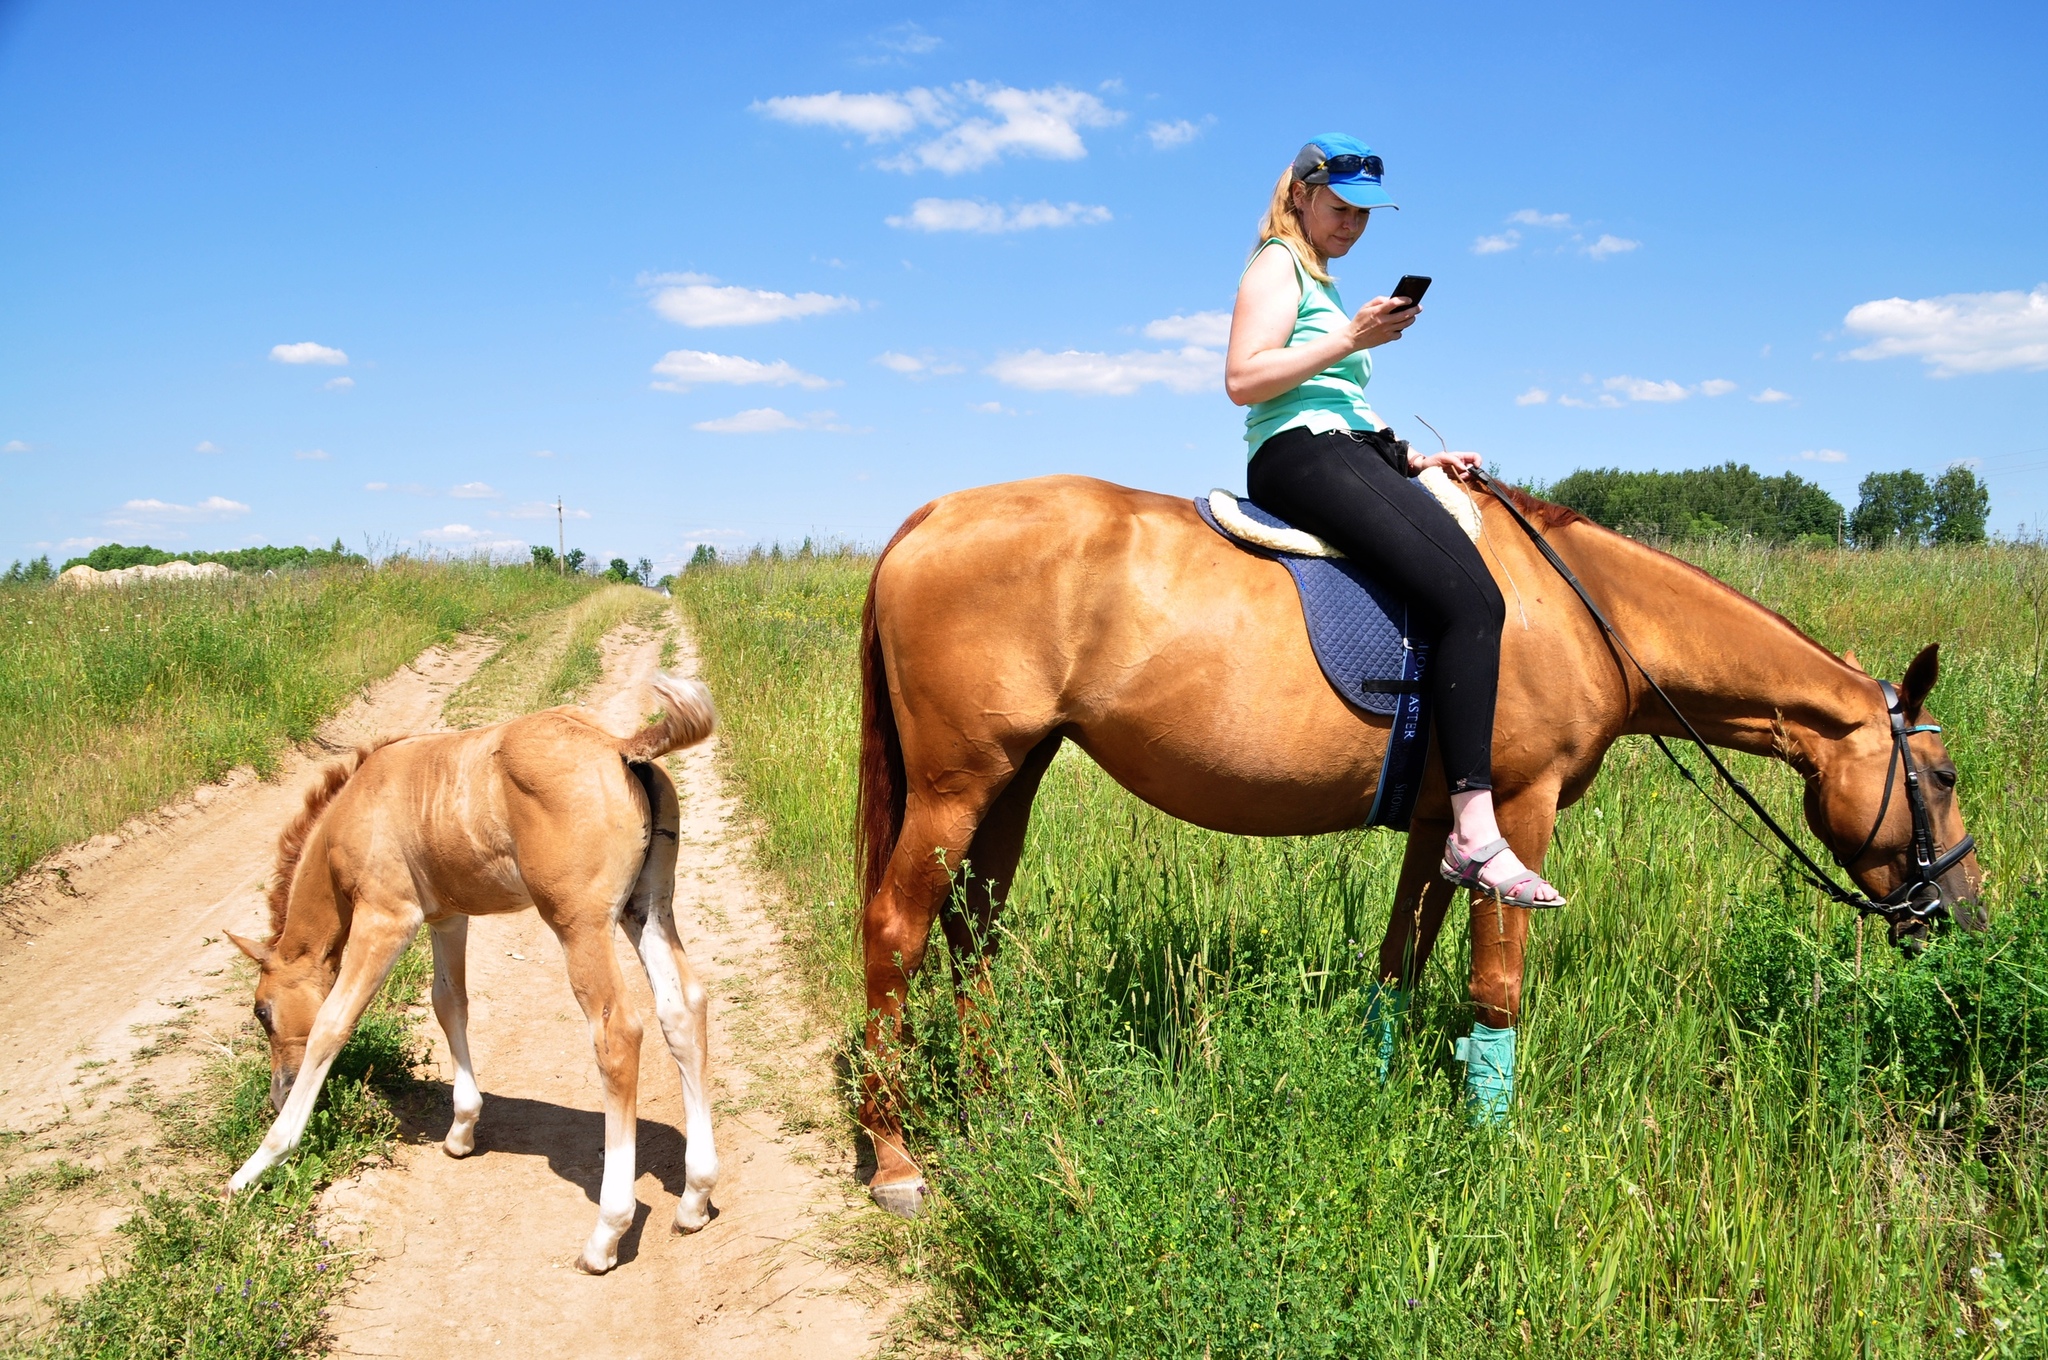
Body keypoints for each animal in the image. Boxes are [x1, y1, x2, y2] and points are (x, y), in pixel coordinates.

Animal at [223, 667, 716, 1278]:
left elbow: (332, 1024)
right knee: (683, 1009)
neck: (357, 806)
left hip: (579, 923)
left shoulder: (386, 917)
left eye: (262, 1012)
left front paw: (257, 1165)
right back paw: (694, 1198)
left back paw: (606, 1234)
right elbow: (448, 1003)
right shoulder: (447, 916)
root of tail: (622, 746)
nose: (278, 1090)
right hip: (646, 908)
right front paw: (461, 1130)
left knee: (618, 1033)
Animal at [847, 473, 1982, 1212]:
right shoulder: (1517, 812)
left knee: (973, 937)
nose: (1960, 914)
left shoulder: (1445, 824)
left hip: (1013, 777)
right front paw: (1491, 1138)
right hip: (956, 784)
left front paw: (1379, 1082)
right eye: (1940, 779)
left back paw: (998, 1109)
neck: (1586, 610)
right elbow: (1494, 986)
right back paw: (895, 1153)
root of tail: (928, 519)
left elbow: (1401, 958)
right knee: (897, 930)